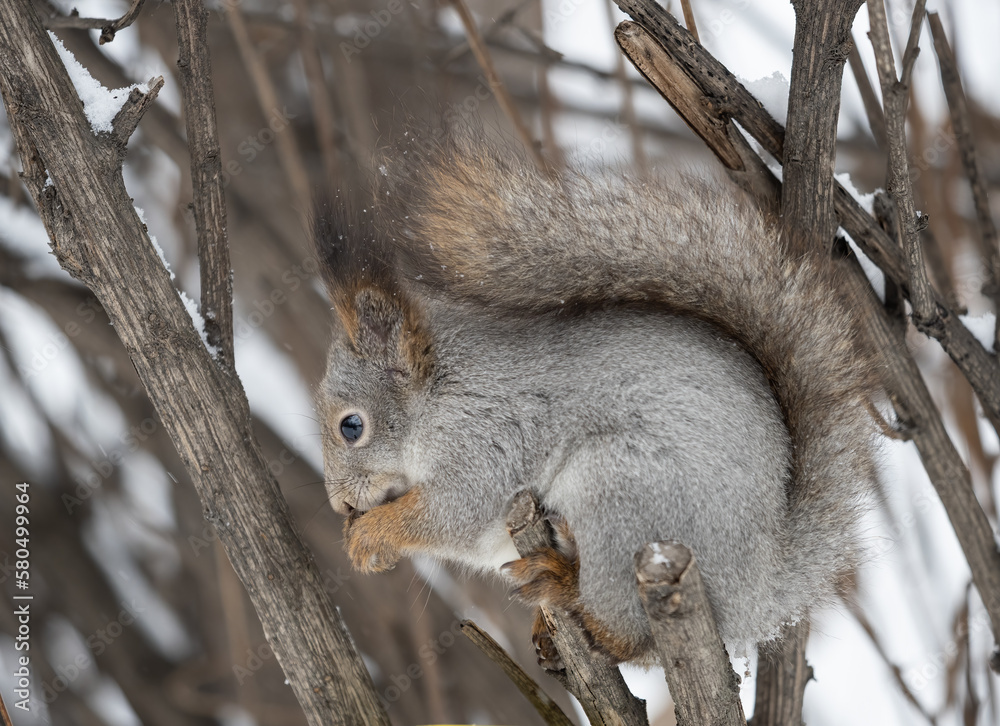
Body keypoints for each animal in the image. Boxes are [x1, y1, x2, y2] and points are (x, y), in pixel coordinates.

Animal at [315, 129, 879, 666]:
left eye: (351, 426)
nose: (339, 504)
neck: (439, 394)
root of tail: (757, 591)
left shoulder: (487, 437)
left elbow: (452, 513)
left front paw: (370, 537)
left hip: (617, 496)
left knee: (627, 635)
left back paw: (563, 585)